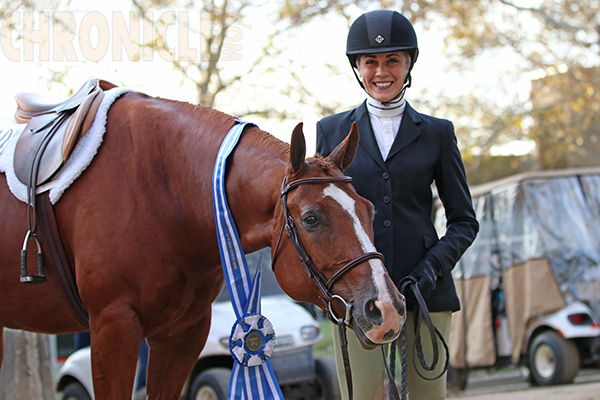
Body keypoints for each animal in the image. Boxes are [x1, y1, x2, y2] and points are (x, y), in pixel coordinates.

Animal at [0, 91, 406, 400]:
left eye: (368, 209)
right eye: (311, 218)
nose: (387, 309)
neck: (162, 190)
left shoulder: (182, 334)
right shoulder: (112, 328)